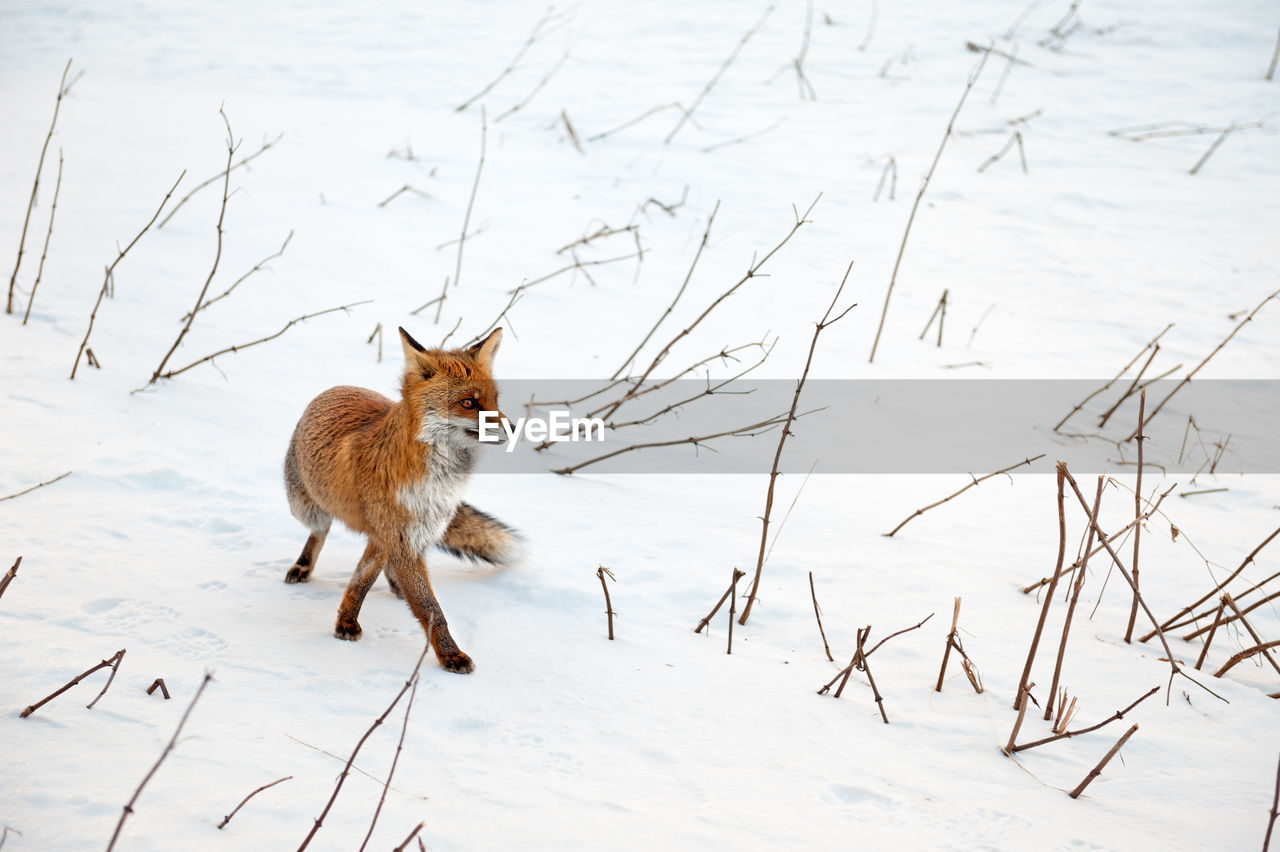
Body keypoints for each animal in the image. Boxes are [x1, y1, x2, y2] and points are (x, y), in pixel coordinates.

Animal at [281, 323, 519, 670]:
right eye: (467, 403)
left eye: (495, 400)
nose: (514, 429)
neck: (435, 482)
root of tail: (337, 388)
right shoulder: (399, 536)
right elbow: (431, 608)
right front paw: (450, 655)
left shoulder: (407, 534)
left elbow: (364, 581)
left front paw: (347, 621)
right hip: (303, 505)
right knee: (319, 531)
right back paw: (303, 566)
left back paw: (394, 584)